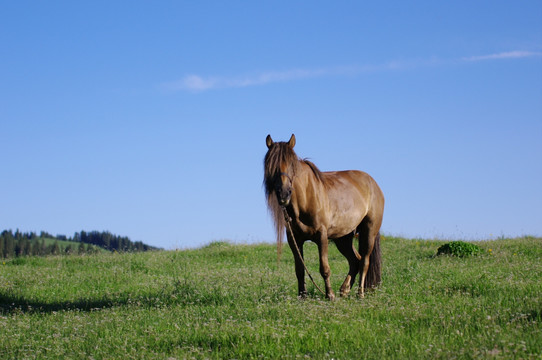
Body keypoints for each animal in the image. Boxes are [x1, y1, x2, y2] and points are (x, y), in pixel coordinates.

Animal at [264, 134, 386, 300]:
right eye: (270, 165)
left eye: (291, 165)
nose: (283, 194)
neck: (306, 198)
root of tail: (373, 184)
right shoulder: (294, 239)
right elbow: (299, 269)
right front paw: (302, 296)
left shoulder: (322, 236)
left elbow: (324, 268)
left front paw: (330, 295)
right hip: (343, 237)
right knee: (355, 260)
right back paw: (344, 290)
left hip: (369, 231)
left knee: (364, 261)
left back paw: (359, 293)